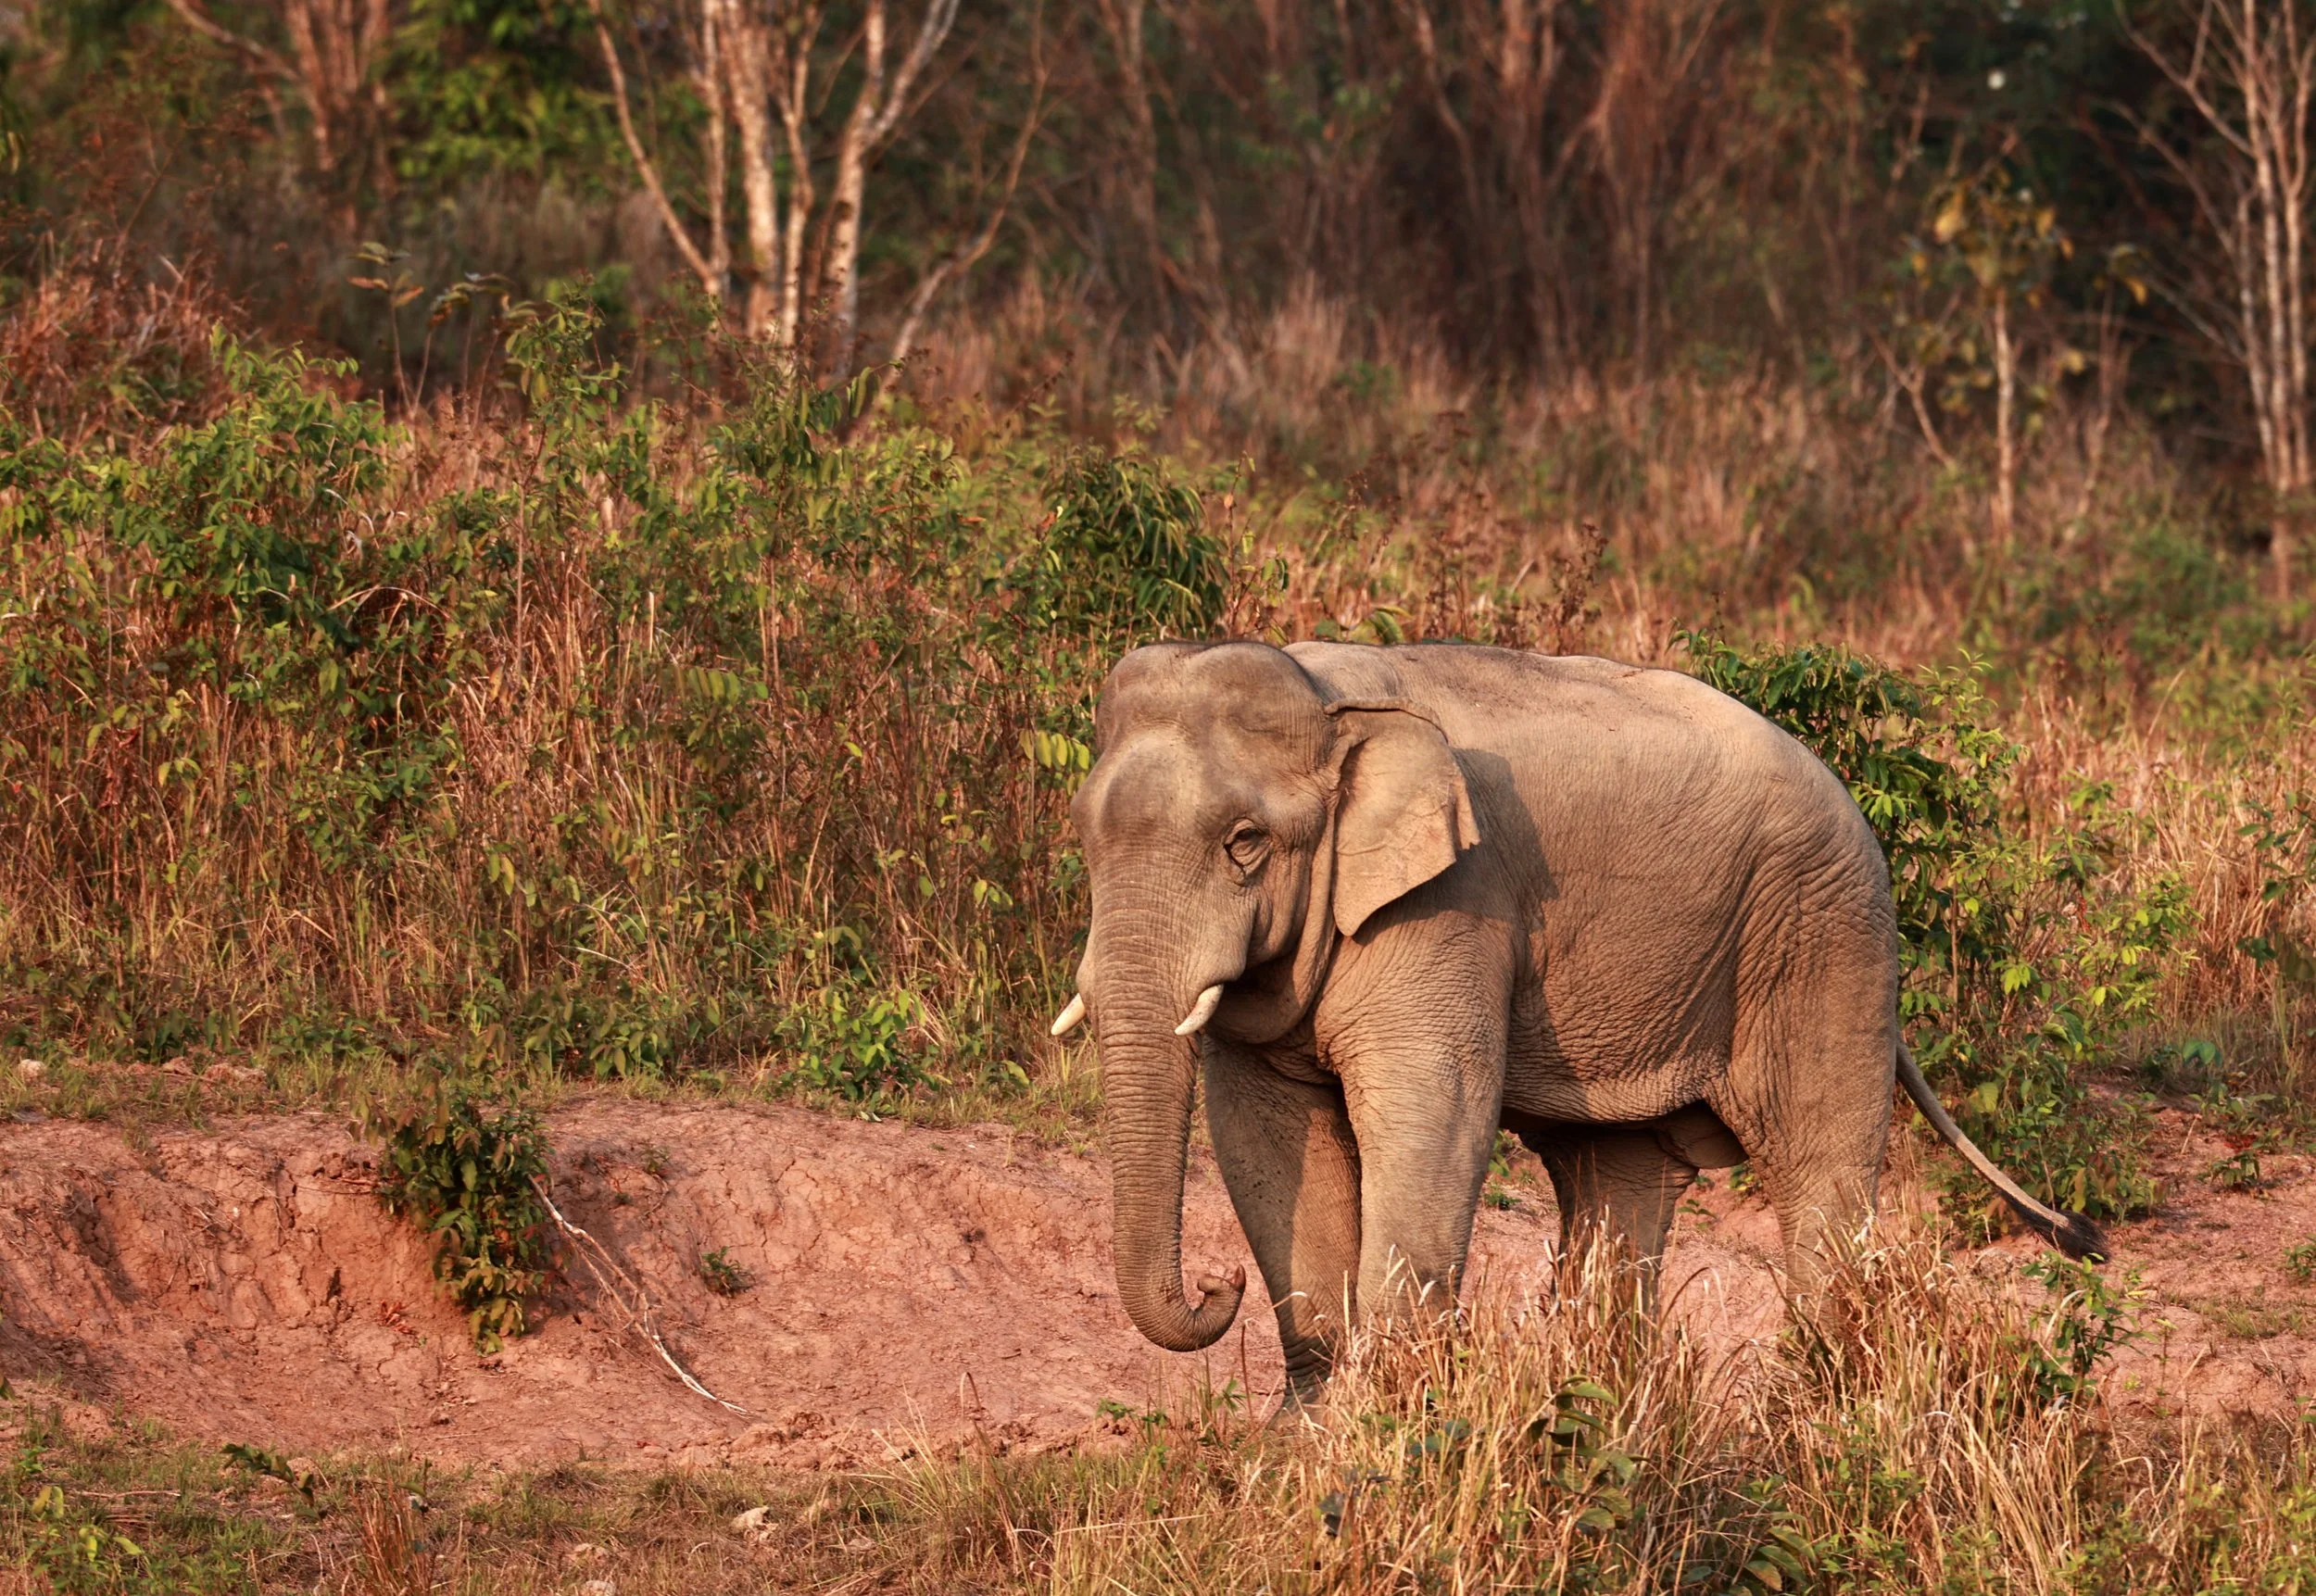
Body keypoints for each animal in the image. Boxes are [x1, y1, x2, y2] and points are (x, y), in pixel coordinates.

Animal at [1051, 638, 2105, 1400]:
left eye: (1245, 843)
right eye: (1084, 834)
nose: (1215, 1284)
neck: (1327, 698)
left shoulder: (1455, 901)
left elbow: (1434, 1104)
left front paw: (1384, 1425)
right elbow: (1265, 1132)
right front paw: (1306, 1439)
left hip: (1825, 940)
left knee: (1818, 1174)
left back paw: (1824, 1417)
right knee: (1615, 1182)